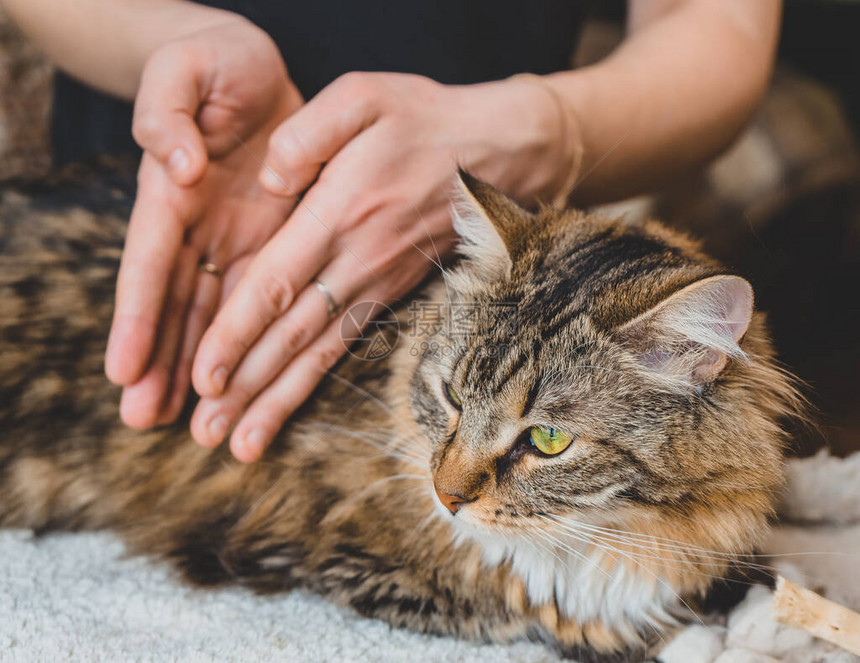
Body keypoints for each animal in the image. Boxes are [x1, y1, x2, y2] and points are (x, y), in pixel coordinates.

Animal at [0, 165, 800, 660]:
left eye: (547, 440)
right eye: (450, 396)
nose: (447, 497)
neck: (615, 538)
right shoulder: (336, 554)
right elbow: (550, 618)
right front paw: (704, 634)